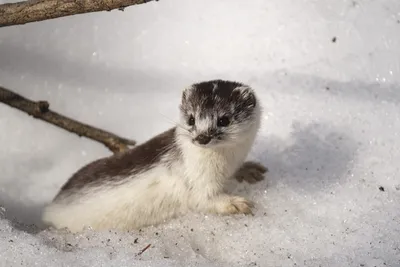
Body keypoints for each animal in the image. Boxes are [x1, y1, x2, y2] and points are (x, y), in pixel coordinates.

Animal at [41, 78, 266, 233]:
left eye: (224, 119)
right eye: (191, 119)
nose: (202, 138)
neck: (227, 161)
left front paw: (250, 169)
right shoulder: (196, 181)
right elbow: (204, 199)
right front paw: (237, 203)